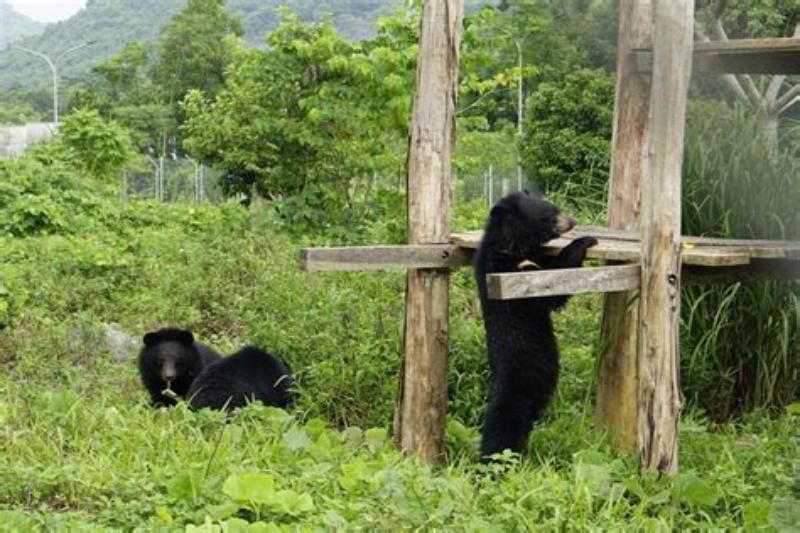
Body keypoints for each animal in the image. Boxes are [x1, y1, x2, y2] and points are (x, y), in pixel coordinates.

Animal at [476, 192, 592, 462]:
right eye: (549, 215)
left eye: (555, 208)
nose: (572, 221)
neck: (512, 246)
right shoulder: (511, 276)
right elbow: (547, 293)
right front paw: (584, 241)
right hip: (521, 383)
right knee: (502, 427)